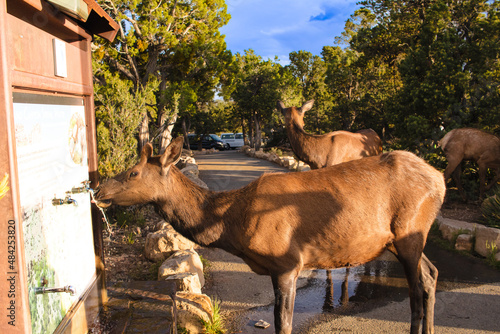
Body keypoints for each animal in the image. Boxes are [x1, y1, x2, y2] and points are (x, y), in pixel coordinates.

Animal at [94, 136, 446, 334]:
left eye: (133, 173)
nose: (99, 190)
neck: (230, 224)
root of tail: (440, 180)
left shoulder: (287, 262)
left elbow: (283, 324)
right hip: (402, 240)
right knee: (431, 274)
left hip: (409, 233)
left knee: (416, 292)